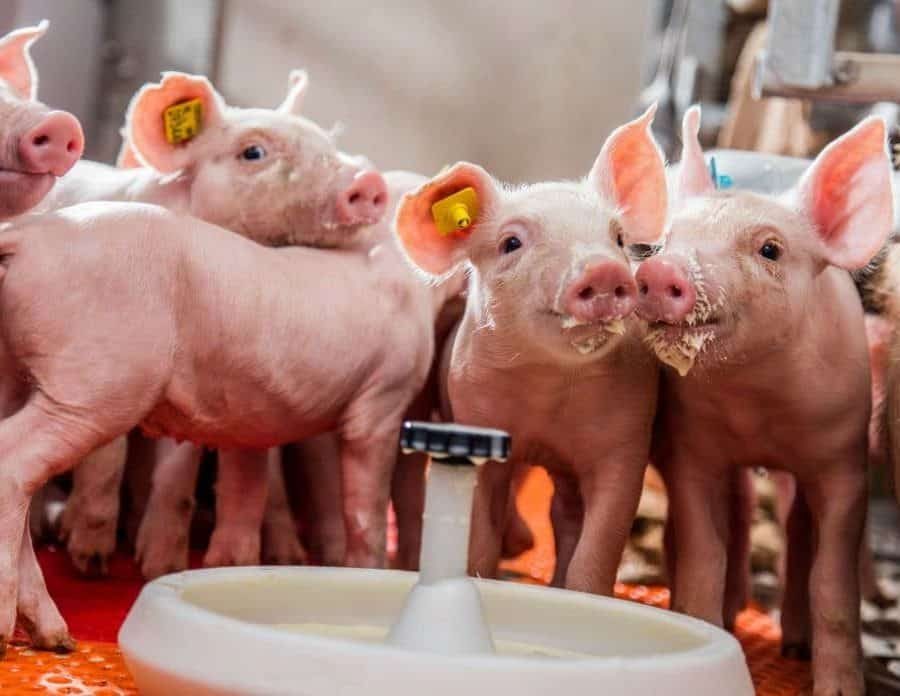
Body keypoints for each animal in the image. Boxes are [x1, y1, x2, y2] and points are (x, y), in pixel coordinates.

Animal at [0, 180, 457, 653]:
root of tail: (26, 236)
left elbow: (249, 481)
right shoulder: (381, 398)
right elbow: (366, 510)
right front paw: (370, 568)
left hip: (14, 371)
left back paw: (55, 638)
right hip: (92, 381)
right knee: (14, 461)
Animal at [37, 68, 388, 576]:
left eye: (326, 142)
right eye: (253, 152)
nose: (370, 180)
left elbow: (177, 471)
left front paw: (162, 567)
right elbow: (107, 453)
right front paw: (91, 561)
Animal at [394, 107, 666, 592]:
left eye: (617, 238)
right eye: (511, 243)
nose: (602, 269)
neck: (549, 390)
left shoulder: (627, 440)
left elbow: (597, 547)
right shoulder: (476, 414)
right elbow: (480, 538)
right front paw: (489, 573)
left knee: (563, 513)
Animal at [639, 106, 892, 696]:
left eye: (770, 249)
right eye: (668, 240)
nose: (661, 272)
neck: (757, 400)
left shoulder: (843, 462)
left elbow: (831, 582)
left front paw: (839, 689)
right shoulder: (695, 450)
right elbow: (706, 551)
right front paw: (704, 625)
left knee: (797, 528)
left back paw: (796, 644)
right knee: (744, 509)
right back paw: (735, 616)